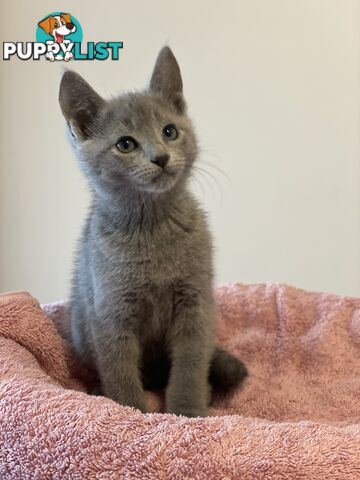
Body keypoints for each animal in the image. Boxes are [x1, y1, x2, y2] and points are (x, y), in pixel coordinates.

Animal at [59, 47, 248, 418]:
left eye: (169, 131)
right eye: (125, 144)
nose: (160, 157)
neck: (152, 227)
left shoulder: (195, 304)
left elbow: (190, 365)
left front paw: (187, 411)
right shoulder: (111, 312)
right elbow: (119, 371)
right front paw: (129, 412)